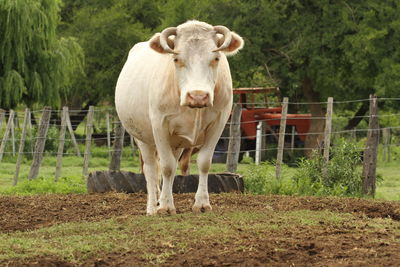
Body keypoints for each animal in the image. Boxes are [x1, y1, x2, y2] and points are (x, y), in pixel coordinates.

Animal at [114, 20, 242, 216]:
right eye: (176, 59)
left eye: (216, 58)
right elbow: (166, 167)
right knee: (151, 170)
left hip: (175, 143)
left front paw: (202, 203)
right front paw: (166, 206)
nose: (198, 96)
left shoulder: (218, 124)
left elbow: (203, 163)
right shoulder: (159, 125)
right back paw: (152, 207)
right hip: (142, 138)